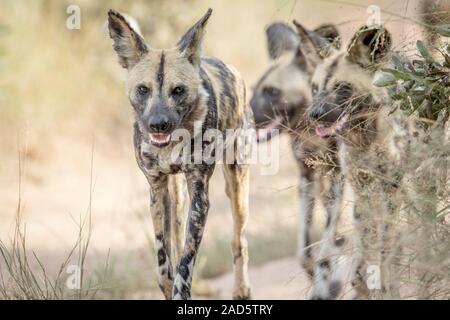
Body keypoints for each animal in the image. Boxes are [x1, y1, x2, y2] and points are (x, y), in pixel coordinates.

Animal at [107, 9, 251, 300]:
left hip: (237, 185)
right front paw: (167, 283)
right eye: (143, 89)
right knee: (175, 236)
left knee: (238, 239)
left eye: (178, 90)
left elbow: (185, 264)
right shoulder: (157, 189)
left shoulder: (200, 197)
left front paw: (181, 290)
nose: (158, 124)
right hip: (177, 197)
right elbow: (165, 265)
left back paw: (241, 289)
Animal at [248, 21, 346, 298]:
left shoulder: (339, 178)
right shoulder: (307, 180)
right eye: (254, 91)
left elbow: (324, 245)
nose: (245, 116)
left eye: (272, 91)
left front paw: (325, 280)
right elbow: (304, 252)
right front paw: (320, 279)